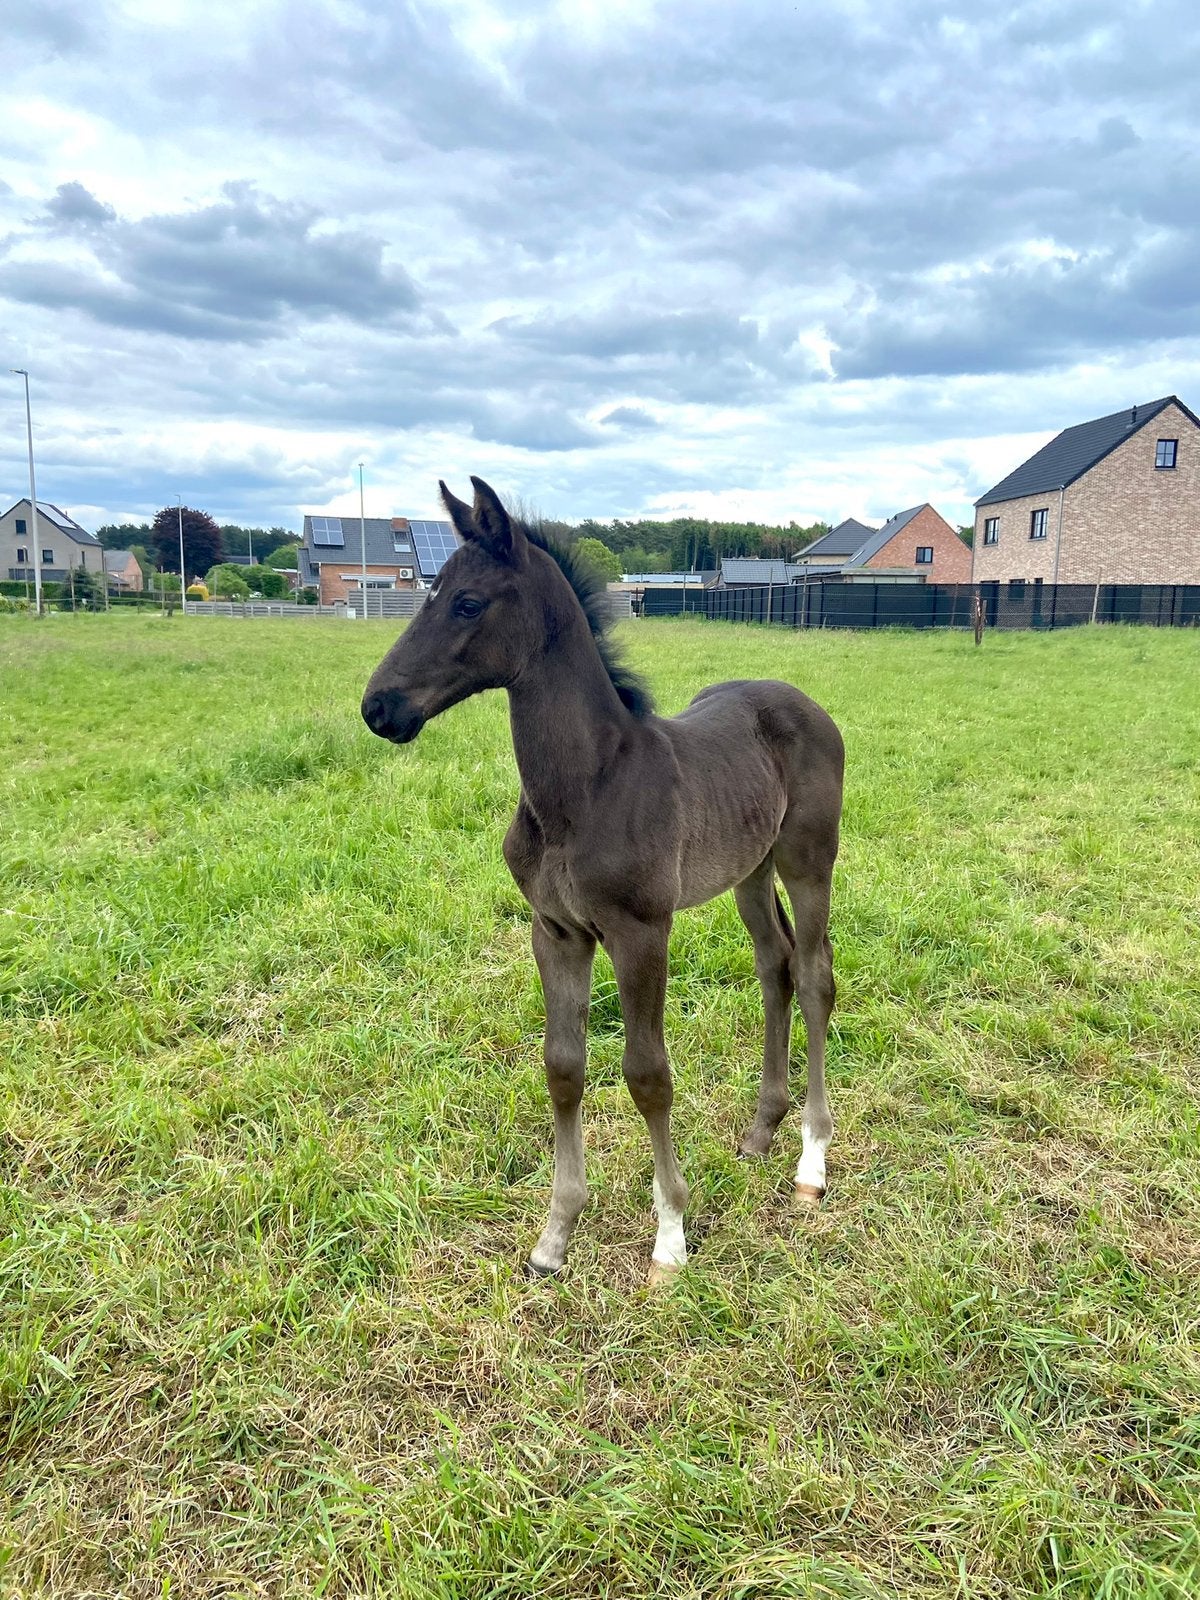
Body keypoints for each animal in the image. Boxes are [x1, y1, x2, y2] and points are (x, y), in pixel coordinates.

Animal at [362, 478, 844, 1284]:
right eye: (428, 592)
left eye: (467, 603)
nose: (378, 707)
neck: (586, 787)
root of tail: (805, 702)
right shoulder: (556, 931)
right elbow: (563, 1067)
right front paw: (555, 1237)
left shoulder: (641, 932)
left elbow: (648, 1074)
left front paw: (671, 1235)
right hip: (748, 870)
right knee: (773, 966)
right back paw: (760, 1131)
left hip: (808, 859)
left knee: (812, 975)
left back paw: (811, 1162)